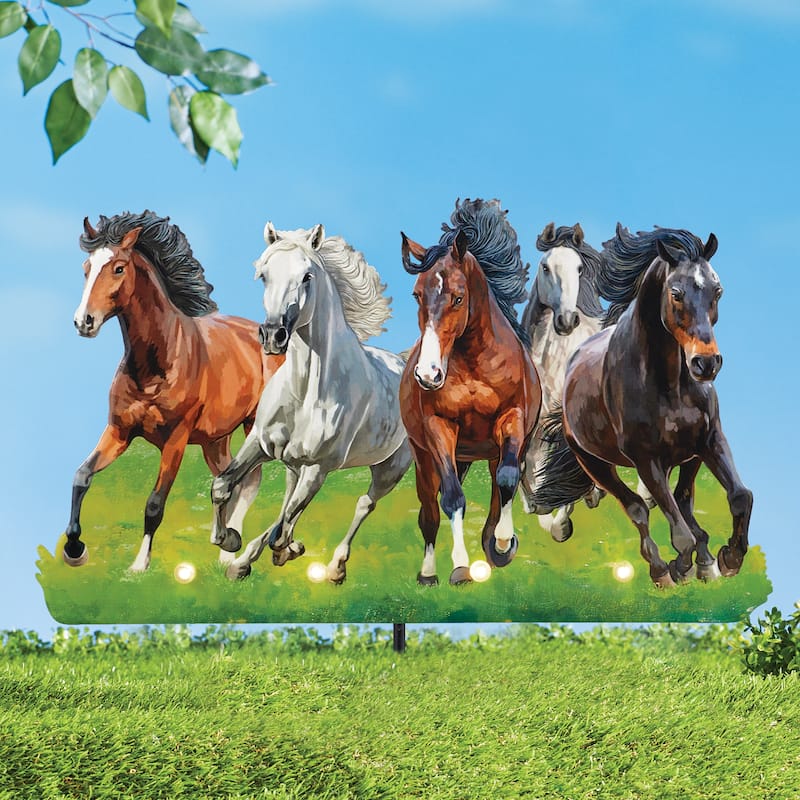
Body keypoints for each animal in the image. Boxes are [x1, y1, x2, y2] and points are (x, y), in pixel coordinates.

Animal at [66, 211, 282, 572]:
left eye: (118, 268)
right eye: (86, 267)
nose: (84, 322)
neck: (157, 365)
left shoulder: (176, 441)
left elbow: (154, 504)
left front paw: (139, 566)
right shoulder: (119, 432)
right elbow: (82, 476)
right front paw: (74, 549)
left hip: (254, 426)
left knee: (249, 481)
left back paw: (232, 552)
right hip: (215, 441)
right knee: (233, 479)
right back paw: (226, 550)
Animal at [210, 223, 411, 582]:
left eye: (307, 276)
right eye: (263, 275)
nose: (272, 335)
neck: (304, 391)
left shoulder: (319, 466)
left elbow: (282, 528)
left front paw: (286, 551)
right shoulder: (260, 443)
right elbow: (223, 485)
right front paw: (231, 542)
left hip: (390, 468)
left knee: (364, 503)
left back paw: (335, 568)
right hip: (294, 464)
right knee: (288, 504)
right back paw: (247, 560)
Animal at [399, 198, 541, 585]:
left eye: (458, 297)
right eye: (417, 294)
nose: (428, 374)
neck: (476, 363)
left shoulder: (512, 419)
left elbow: (508, 479)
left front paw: (503, 543)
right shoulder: (440, 428)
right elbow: (452, 499)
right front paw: (461, 568)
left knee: (500, 482)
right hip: (426, 457)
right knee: (429, 510)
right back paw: (428, 573)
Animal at [556, 224, 752, 588]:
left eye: (717, 290)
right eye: (676, 293)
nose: (706, 364)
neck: (668, 383)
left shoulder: (710, 441)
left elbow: (740, 497)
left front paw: (729, 558)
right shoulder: (646, 459)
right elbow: (678, 533)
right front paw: (679, 568)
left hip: (688, 458)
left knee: (682, 501)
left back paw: (706, 562)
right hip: (593, 462)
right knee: (638, 509)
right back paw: (662, 570)